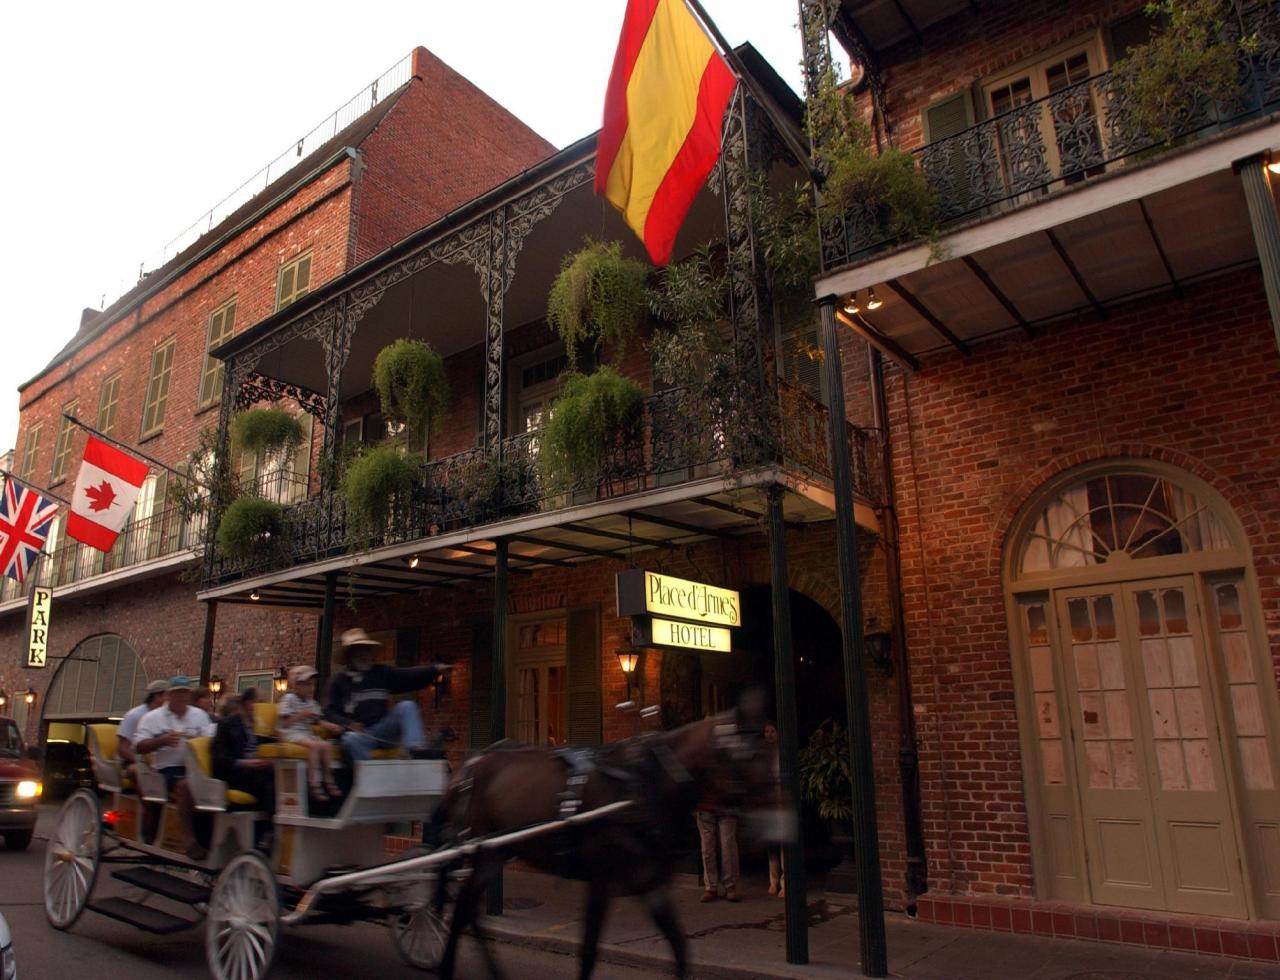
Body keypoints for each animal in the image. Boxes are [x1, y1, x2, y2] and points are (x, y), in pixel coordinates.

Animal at [430, 690, 778, 980]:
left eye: (767, 748)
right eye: (747, 756)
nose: (770, 828)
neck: (643, 787)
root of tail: (469, 766)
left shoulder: (653, 884)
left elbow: (680, 949)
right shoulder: (601, 879)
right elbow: (588, 952)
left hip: (494, 852)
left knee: (468, 911)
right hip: (484, 850)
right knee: (461, 911)